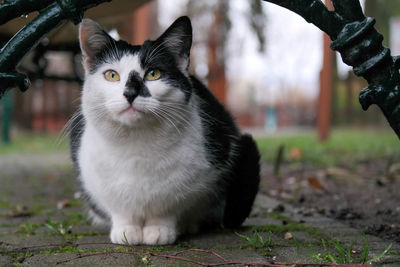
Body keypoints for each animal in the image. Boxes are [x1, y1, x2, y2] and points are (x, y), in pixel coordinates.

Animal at [70, 16, 260, 246]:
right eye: (112, 75)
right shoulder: (97, 181)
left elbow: (167, 207)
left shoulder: (196, 180)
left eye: (154, 74)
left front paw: (159, 230)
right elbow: (121, 208)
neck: (136, 146)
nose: (130, 93)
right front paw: (126, 231)